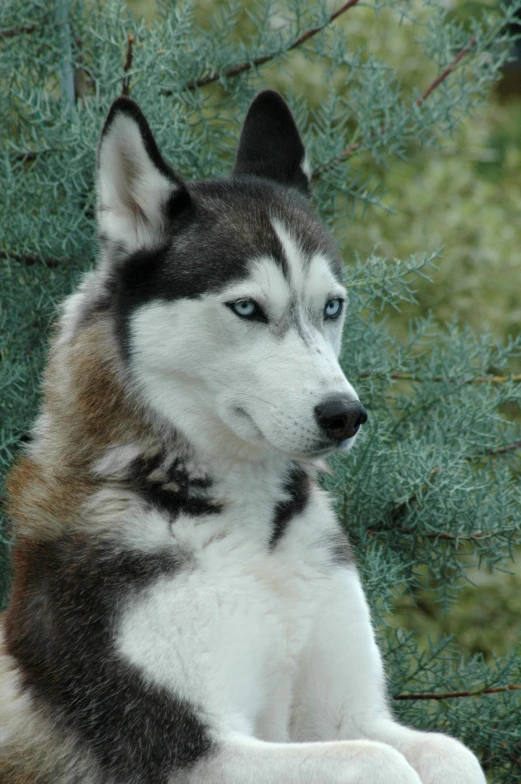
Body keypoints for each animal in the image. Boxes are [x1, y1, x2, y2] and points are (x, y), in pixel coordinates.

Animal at [1, 93, 488, 784]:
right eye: (247, 308)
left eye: (333, 306)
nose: (345, 414)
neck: (256, 539)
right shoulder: (194, 751)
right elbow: (378, 762)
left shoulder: (350, 715)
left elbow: (449, 752)